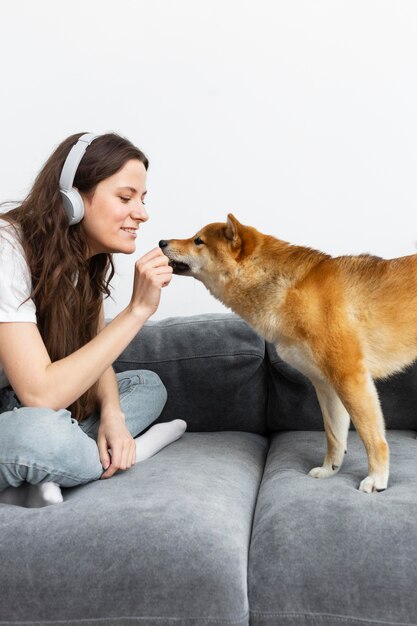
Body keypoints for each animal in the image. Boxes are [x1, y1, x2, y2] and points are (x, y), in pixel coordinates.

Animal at [159, 212, 417, 490]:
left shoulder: (350, 378)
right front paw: (329, 470)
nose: (161, 242)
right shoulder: (326, 386)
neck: (290, 290)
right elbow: (334, 436)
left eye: (198, 240)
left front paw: (377, 478)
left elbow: (372, 438)